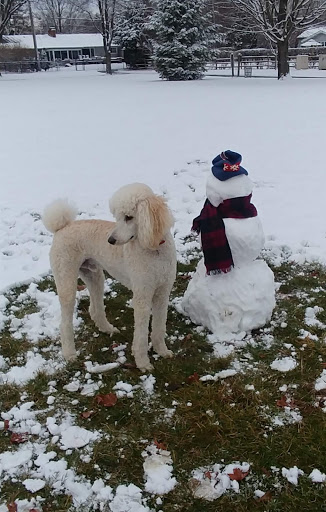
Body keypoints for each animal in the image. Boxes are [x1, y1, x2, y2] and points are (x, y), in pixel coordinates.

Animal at [43, 182, 177, 370]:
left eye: (129, 217)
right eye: (117, 217)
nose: (111, 240)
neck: (154, 249)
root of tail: (62, 227)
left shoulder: (163, 292)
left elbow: (159, 326)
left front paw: (162, 351)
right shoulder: (142, 295)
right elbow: (141, 334)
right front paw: (143, 362)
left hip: (94, 276)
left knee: (95, 309)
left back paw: (107, 329)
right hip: (66, 277)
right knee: (65, 322)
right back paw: (69, 353)